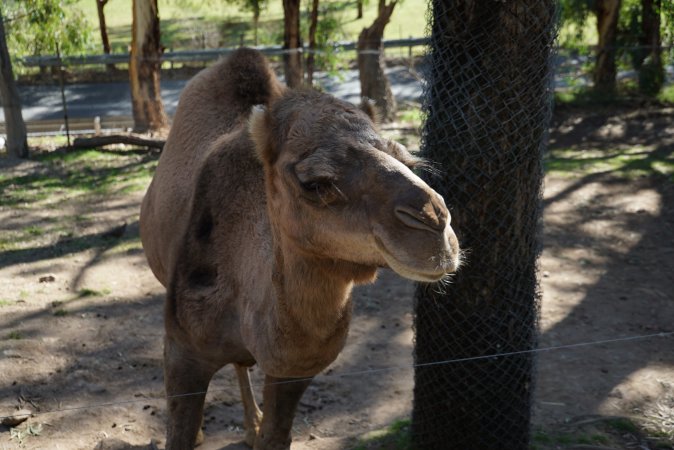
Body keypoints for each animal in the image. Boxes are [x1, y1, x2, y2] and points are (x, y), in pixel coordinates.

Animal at [139, 47, 460, 448]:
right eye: (315, 183)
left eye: (409, 161)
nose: (435, 223)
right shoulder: (182, 348)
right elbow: (179, 430)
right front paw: (194, 432)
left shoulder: (294, 372)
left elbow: (276, 435)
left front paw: (260, 428)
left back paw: (251, 424)